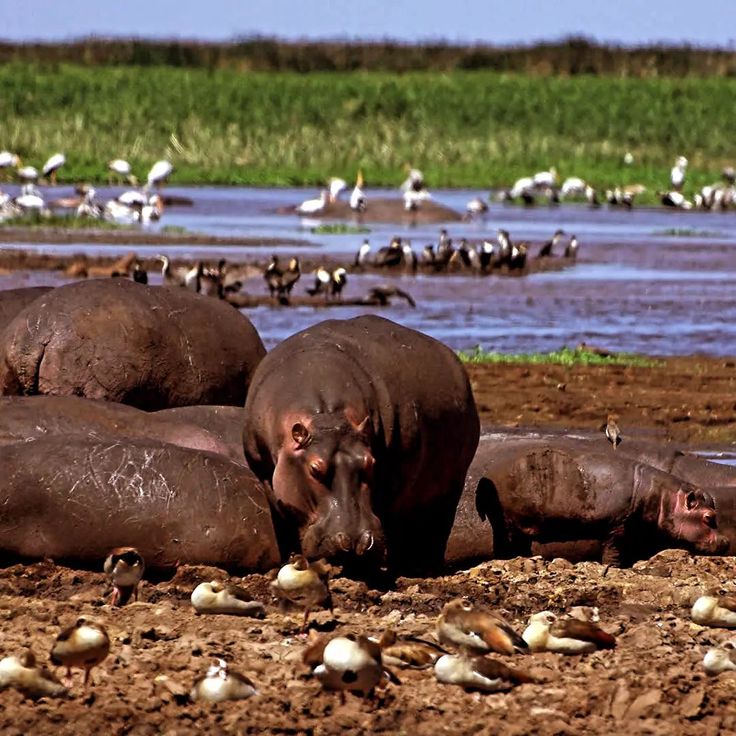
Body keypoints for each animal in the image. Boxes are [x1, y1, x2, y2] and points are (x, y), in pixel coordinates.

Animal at [243, 315, 480, 572]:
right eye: (314, 469)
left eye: (370, 463)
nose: (356, 540)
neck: (328, 417)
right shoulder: (265, 473)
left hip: (452, 483)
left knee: (432, 525)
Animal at [446, 435, 727, 567]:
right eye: (708, 517)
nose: (726, 542)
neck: (664, 498)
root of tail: (485, 479)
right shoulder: (618, 526)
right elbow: (614, 551)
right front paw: (615, 567)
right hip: (508, 521)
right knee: (506, 545)